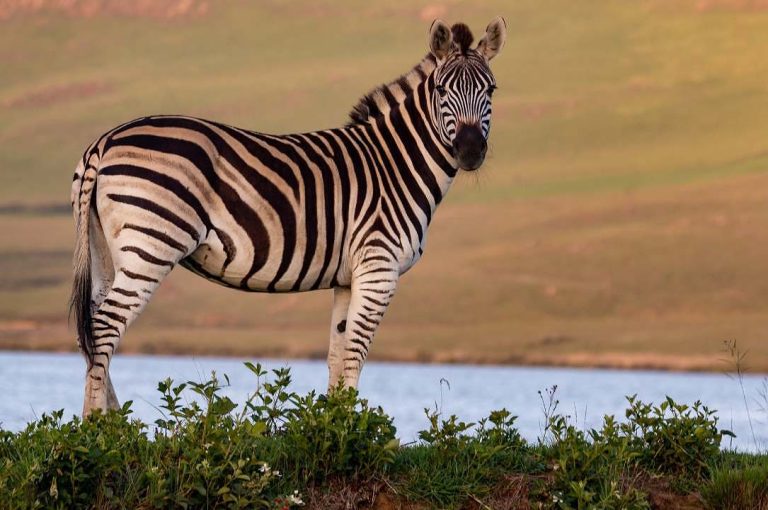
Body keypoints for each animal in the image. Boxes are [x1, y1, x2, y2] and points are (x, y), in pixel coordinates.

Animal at [70, 18, 507, 415]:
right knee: (105, 326)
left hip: (106, 249)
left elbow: (337, 356)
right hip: (152, 244)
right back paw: (98, 427)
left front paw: (334, 428)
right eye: (441, 90)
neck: (395, 164)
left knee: (91, 328)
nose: (470, 150)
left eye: (491, 89)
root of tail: (105, 140)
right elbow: (355, 355)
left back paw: (118, 425)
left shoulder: (348, 278)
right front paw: (353, 432)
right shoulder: (378, 268)